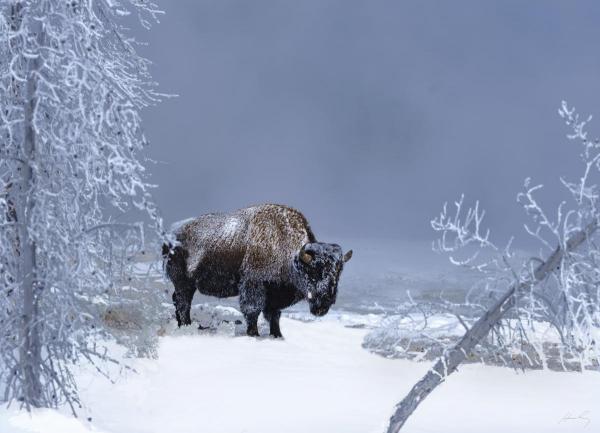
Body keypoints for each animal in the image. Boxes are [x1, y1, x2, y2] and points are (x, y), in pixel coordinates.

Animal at [163, 203, 352, 338]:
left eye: (338, 272)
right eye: (314, 271)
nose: (326, 301)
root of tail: (171, 237)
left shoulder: (275, 295)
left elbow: (274, 315)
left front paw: (278, 335)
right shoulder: (254, 284)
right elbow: (252, 310)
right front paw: (253, 334)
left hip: (187, 285)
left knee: (179, 301)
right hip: (184, 283)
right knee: (183, 303)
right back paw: (187, 326)